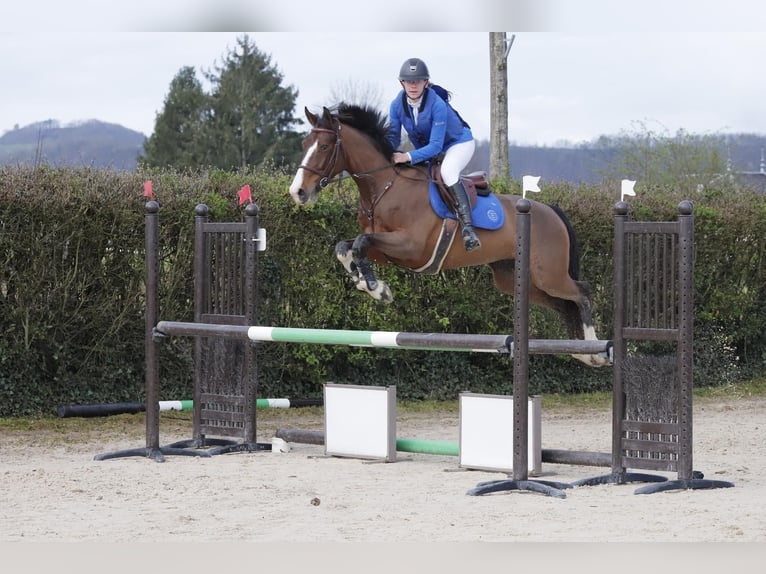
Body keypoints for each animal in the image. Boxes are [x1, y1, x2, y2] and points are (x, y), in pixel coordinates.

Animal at [292, 102, 608, 368]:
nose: (298, 192)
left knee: (582, 292)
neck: (385, 187)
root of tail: (551, 210)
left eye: (324, 146)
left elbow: (359, 242)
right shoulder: (387, 251)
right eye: (304, 145)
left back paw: (595, 350)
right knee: (563, 304)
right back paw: (582, 352)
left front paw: (376, 288)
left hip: (548, 274)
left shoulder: (411, 247)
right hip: (516, 279)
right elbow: (345, 247)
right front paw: (366, 283)